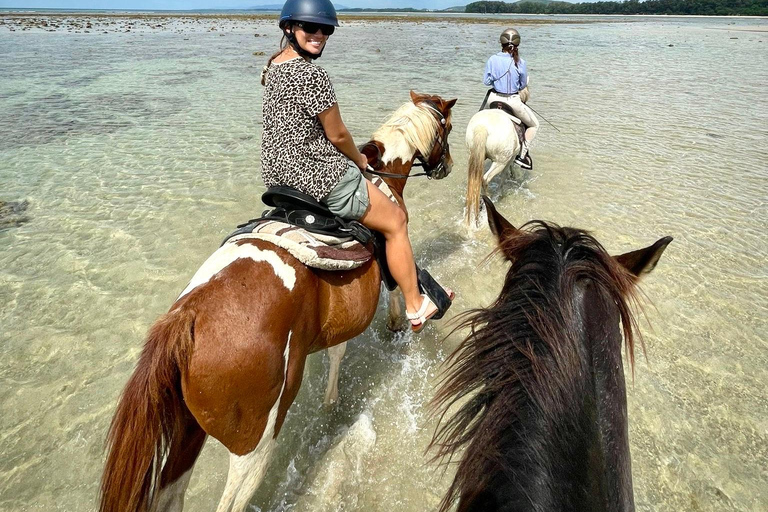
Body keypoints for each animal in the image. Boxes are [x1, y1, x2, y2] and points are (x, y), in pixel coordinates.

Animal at [98, 91, 452, 512]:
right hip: (254, 443)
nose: (447, 166)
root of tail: (188, 318)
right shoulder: (391, 245)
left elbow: (337, 351)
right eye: (447, 127)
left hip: (185, 439)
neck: (382, 176)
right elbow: (393, 291)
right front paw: (405, 320)